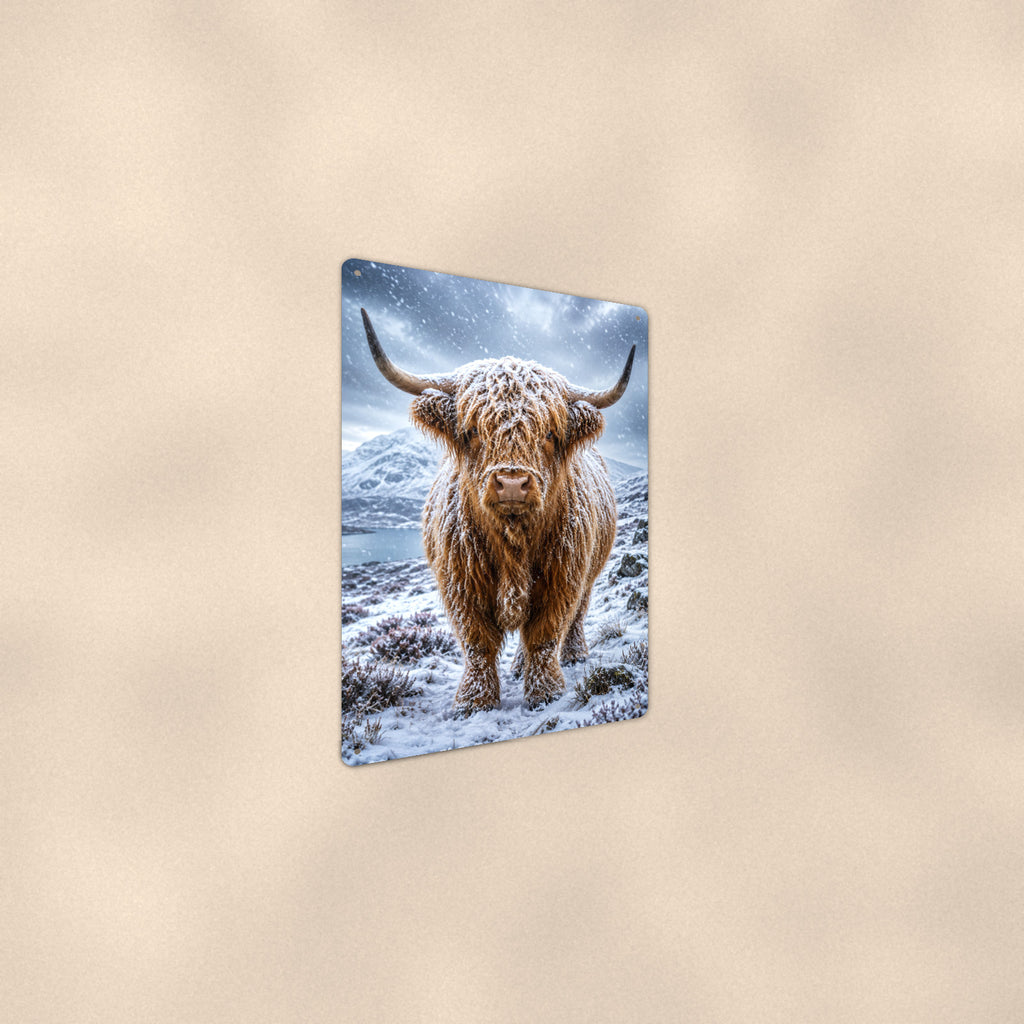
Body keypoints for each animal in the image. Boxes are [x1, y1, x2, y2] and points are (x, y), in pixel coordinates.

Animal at [361, 307, 635, 711]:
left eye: (550, 434)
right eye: (474, 430)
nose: (512, 483)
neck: (513, 541)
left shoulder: (562, 578)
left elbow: (544, 635)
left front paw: (545, 693)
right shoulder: (461, 584)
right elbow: (478, 642)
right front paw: (475, 701)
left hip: (589, 572)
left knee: (576, 617)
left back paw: (571, 654)